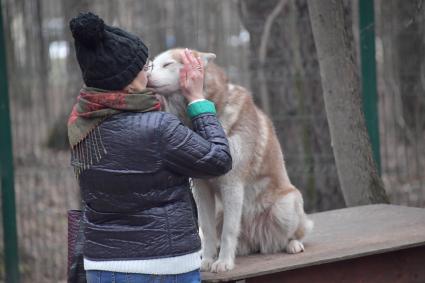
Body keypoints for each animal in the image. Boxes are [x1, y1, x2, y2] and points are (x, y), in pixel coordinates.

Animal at [147, 48, 314, 272]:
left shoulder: (232, 184)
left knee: (297, 233)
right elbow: (208, 231)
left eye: (167, 65)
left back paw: (294, 244)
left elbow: (229, 231)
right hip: (221, 211)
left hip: (285, 205)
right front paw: (208, 261)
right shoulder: (200, 189)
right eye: (153, 65)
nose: (146, 76)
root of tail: (256, 241)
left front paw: (224, 263)